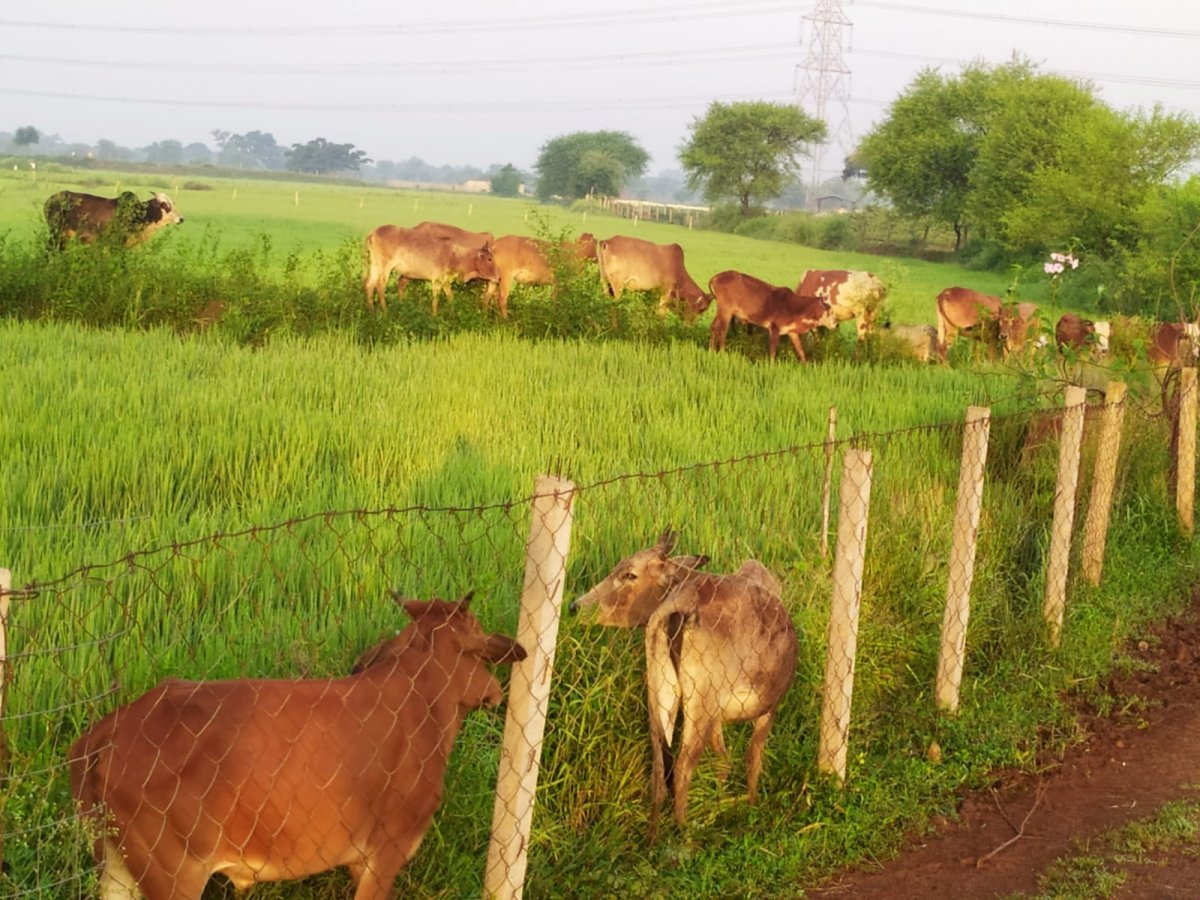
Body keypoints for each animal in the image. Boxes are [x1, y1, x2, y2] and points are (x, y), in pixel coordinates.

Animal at [68, 593, 525, 899]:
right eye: (479, 636)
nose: (496, 694)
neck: (421, 697)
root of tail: (108, 729)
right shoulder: (386, 851)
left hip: (118, 867)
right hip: (173, 873)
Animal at [363, 225, 498, 313]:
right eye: (489, 259)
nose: (498, 277)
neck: (456, 255)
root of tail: (374, 232)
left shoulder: (445, 282)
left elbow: (450, 297)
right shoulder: (437, 281)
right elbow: (435, 299)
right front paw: (434, 315)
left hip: (375, 264)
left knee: (370, 284)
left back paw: (371, 310)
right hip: (385, 267)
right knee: (380, 286)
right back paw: (385, 311)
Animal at [569, 529, 797, 839]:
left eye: (630, 574)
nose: (575, 606)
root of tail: (679, 606)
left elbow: (724, 757)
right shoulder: (767, 707)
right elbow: (752, 761)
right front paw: (751, 806)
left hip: (663, 691)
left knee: (658, 769)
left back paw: (653, 838)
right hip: (699, 701)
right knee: (682, 767)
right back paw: (684, 834)